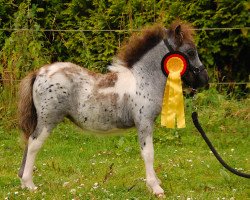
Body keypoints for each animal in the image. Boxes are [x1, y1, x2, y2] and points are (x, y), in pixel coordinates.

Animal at [18, 20, 209, 197]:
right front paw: (156, 188)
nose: (205, 81)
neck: (143, 80)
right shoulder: (144, 122)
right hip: (48, 119)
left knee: (28, 142)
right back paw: (30, 185)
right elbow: (148, 153)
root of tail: (38, 73)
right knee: (34, 143)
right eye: (190, 52)